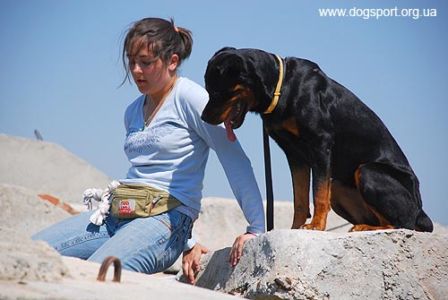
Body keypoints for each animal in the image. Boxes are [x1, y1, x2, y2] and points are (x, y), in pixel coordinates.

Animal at [201, 47, 432, 232]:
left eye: (217, 91)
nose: (203, 118)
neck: (280, 88)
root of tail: (421, 212)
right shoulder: (294, 154)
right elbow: (300, 198)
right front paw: (296, 228)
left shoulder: (320, 144)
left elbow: (318, 194)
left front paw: (316, 226)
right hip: (338, 186)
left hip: (368, 172)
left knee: (403, 223)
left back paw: (368, 227)